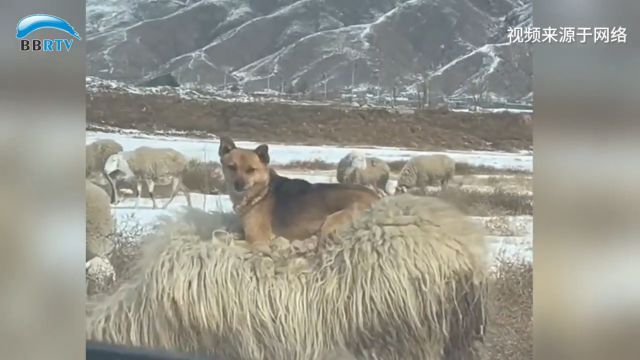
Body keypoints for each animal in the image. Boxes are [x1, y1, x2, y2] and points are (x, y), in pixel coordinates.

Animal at [219, 135, 380, 250]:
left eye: (251, 170)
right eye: (231, 167)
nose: (238, 185)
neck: (262, 192)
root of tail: (378, 199)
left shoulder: (258, 240)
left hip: (332, 222)